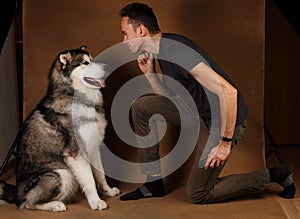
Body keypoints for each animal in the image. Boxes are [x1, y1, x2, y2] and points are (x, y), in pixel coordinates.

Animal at [0, 46, 119, 212]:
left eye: (92, 60)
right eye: (85, 63)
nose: (107, 67)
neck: (76, 96)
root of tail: (16, 192)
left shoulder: (93, 146)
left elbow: (101, 174)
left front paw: (107, 191)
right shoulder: (76, 154)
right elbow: (90, 180)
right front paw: (96, 202)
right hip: (62, 173)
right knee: (27, 203)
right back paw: (55, 205)